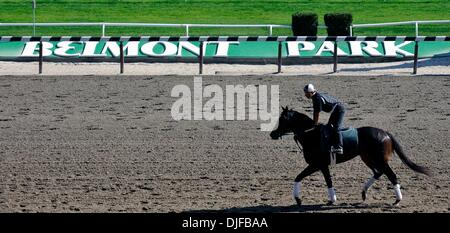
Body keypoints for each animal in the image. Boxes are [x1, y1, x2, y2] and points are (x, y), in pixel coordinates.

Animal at [268, 106, 430, 207]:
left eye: (282, 120)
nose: (272, 134)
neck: (311, 135)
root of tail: (385, 133)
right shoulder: (322, 165)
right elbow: (325, 180)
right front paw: (329, 200)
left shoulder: (316, 164)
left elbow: (301, 177)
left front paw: (298, 199)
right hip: (367, 158)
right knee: (378, 173)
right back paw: (364, 193)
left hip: (379, 160)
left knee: (391, 175)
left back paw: (397, 199)